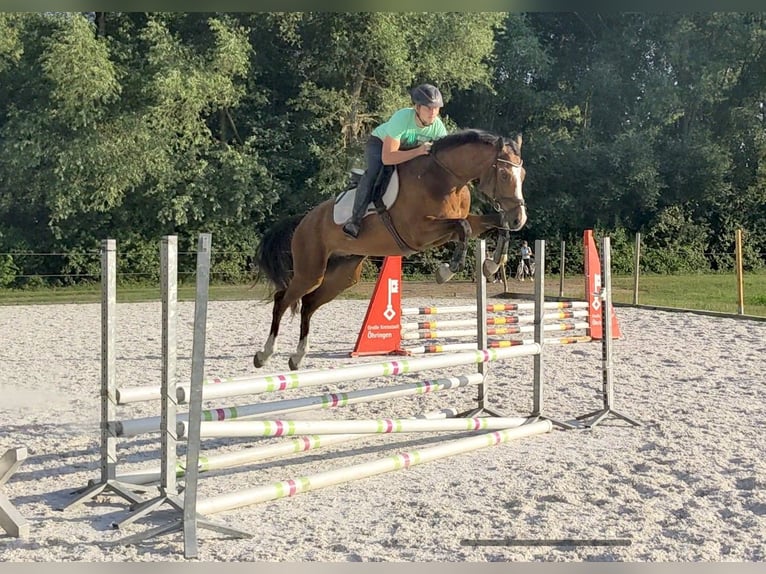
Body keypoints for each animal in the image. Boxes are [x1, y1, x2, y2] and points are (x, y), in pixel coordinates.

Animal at [253, 128, 527, 370]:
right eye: (504, 175)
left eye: (522, 174)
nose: (520, 219)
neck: (447, 178)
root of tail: (305, 219)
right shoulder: (419, 233)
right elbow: (463, 228)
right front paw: (447, 271)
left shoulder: (457, 223)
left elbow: (492, 224)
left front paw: (492, 263)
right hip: (310, 271)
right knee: (282, 299)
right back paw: (264, 354)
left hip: (342, 275)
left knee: (308, 304)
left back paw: (297, 357)